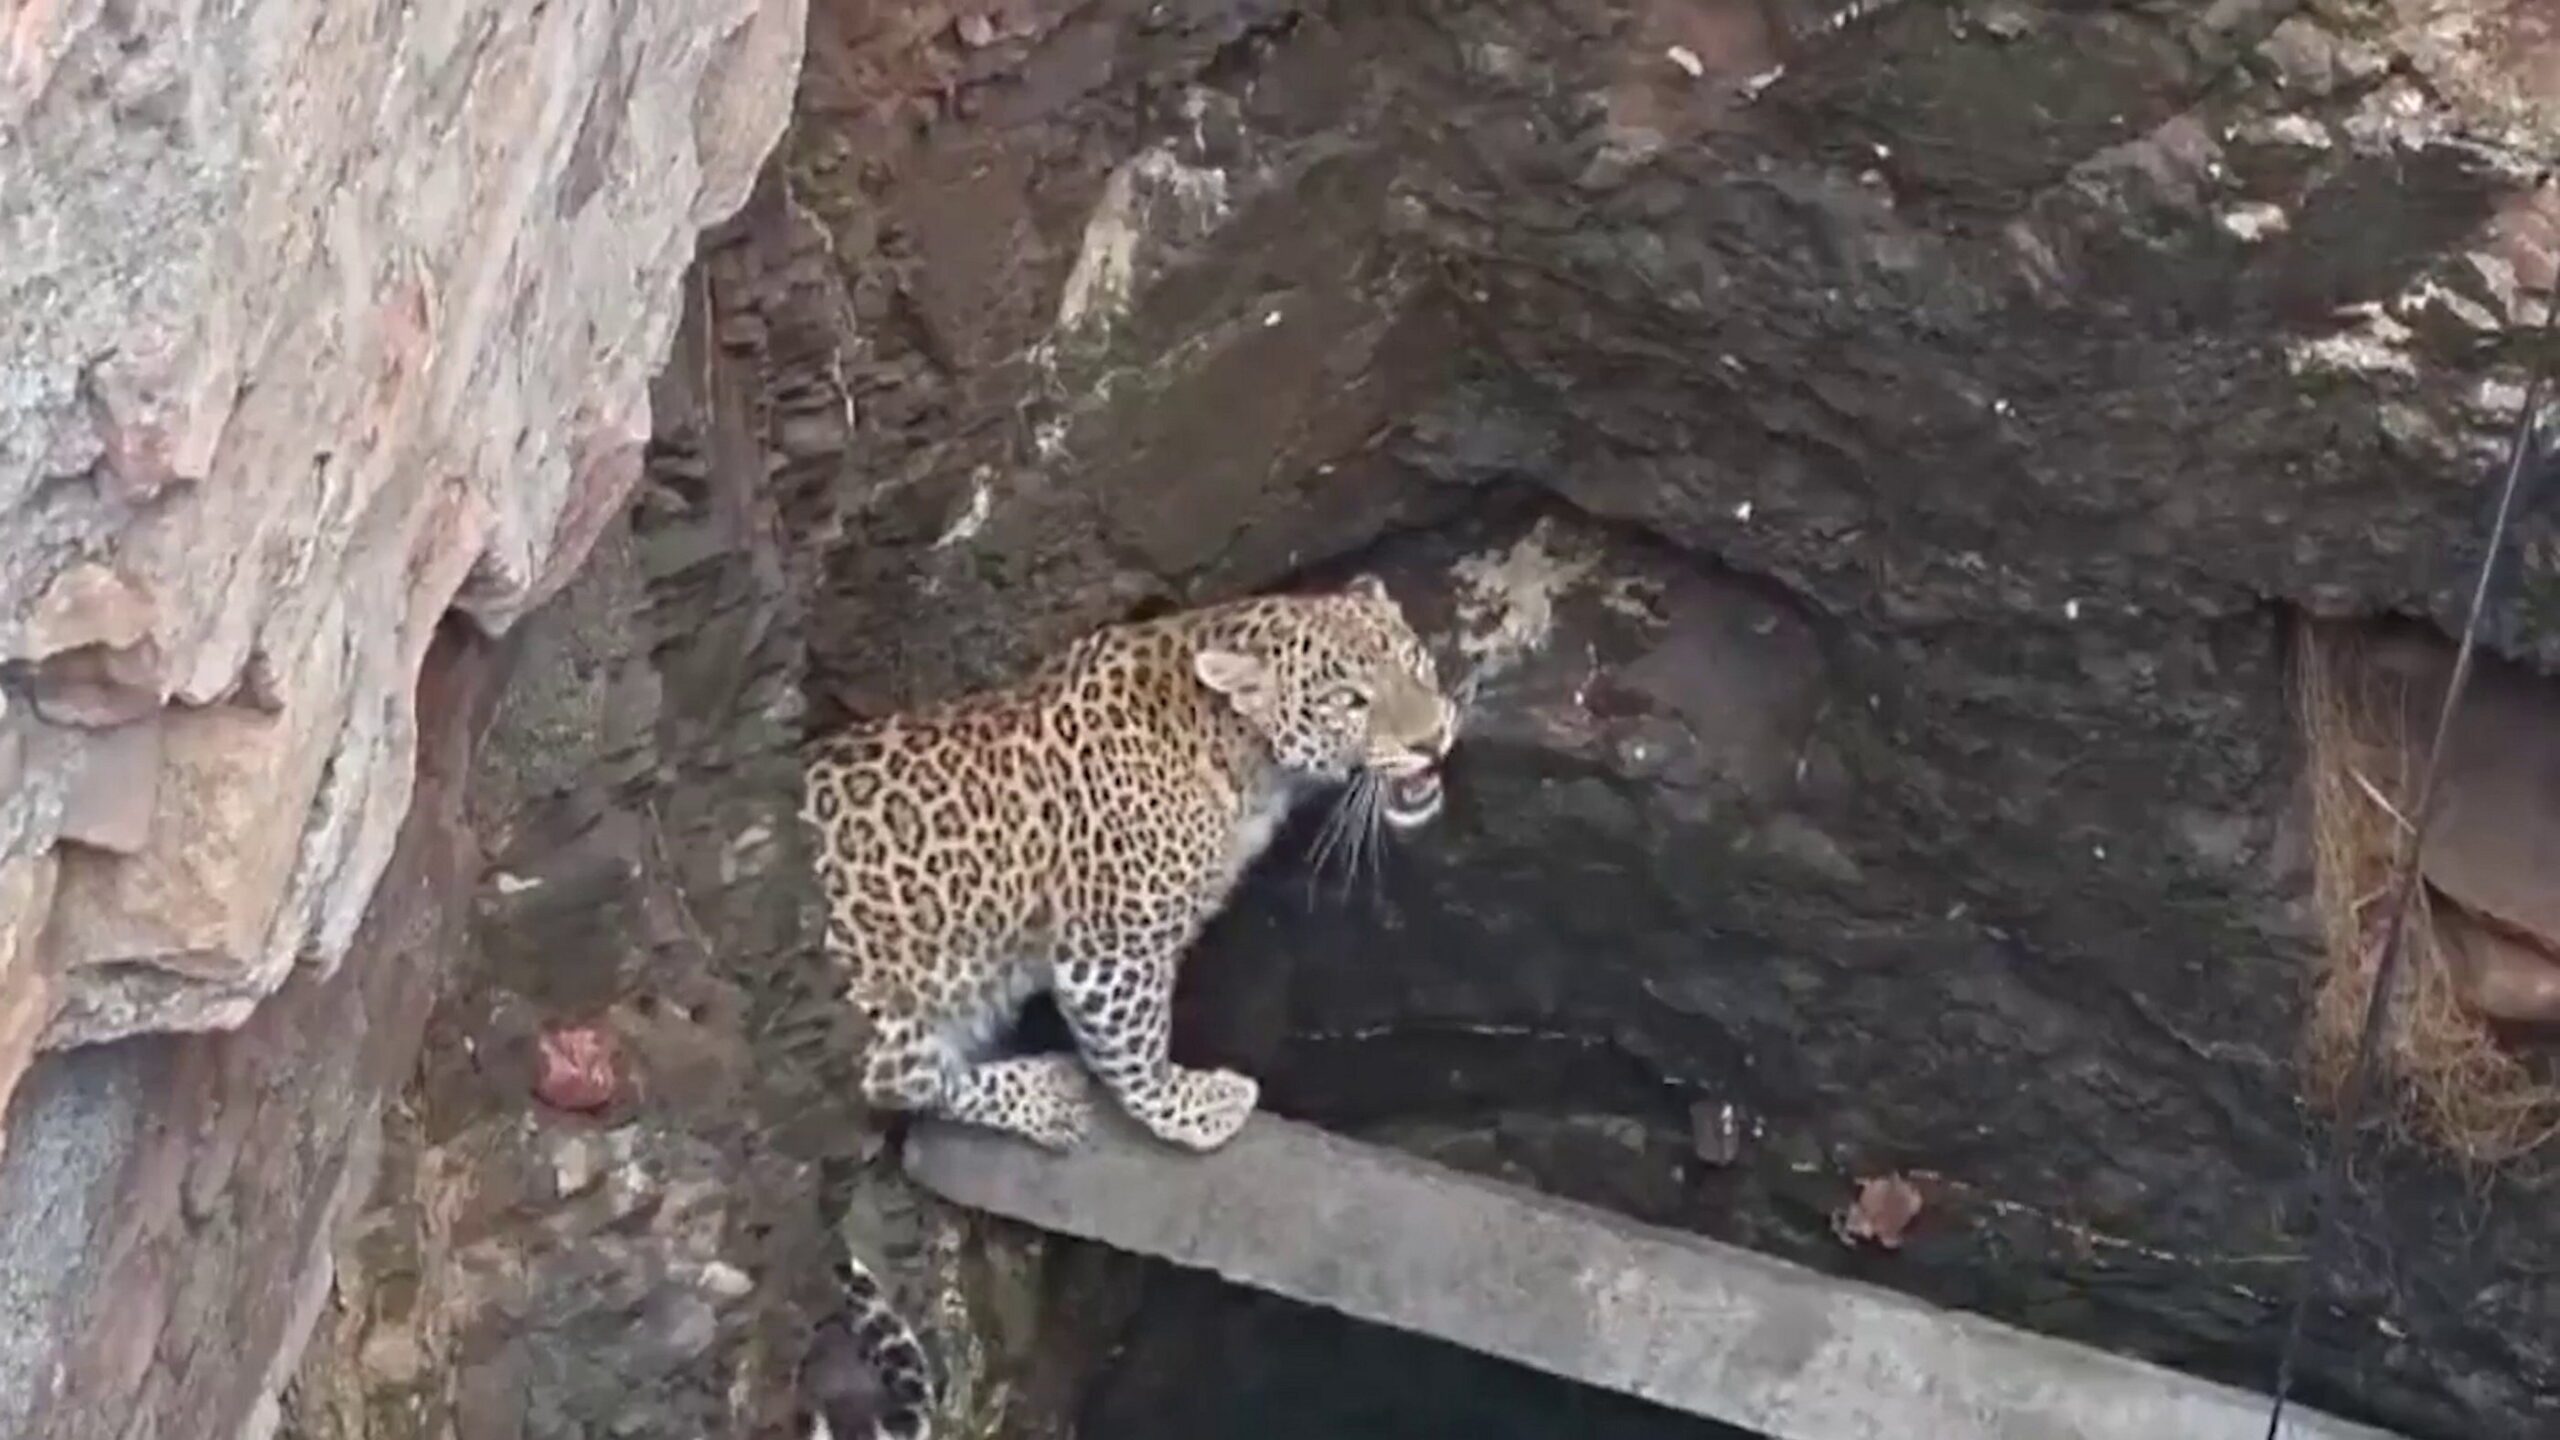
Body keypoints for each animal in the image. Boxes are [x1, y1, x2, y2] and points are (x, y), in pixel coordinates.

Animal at [799, 574, 1459, 1156]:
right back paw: (1045, 1092)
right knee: (899, 1082)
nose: (1432, 739)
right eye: (1349, 701)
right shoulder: (1110, 952)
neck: (1243, 758)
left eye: (1415, 660)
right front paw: (1190, 1107)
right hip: (880, 1008)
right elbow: (1134, 1050)